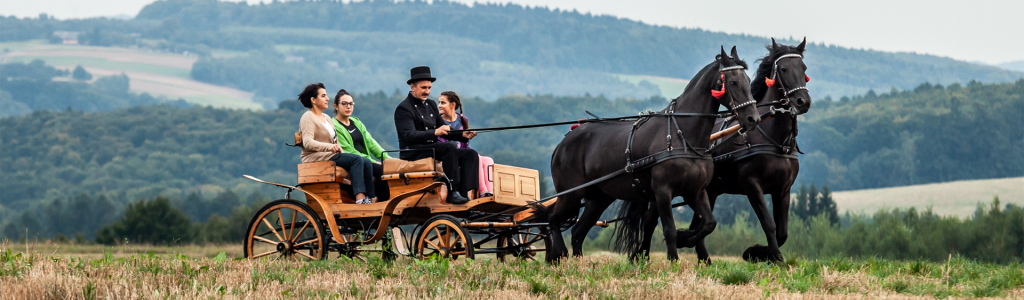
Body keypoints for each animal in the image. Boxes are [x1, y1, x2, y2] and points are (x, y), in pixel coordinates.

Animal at [544, 46, 761, 262]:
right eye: (733, 82)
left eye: (748, 81)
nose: (753, 118)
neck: (683, 136)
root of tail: (565, 140)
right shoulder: (663, 191)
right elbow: (669, 229)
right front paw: (673, 260)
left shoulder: (695, 191)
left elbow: (709, 223)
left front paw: (685, 239)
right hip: (571, 194)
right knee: (551, 219)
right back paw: (557, 254)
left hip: (598, 198)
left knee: (577, 232)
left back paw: (578, 261)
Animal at [675, 36, 811, 262]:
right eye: (783, 69)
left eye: (804, 68)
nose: (803, 101)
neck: (775, 140)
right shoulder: (752, 185)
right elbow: (769, 224)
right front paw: (772, 256)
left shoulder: (783, 189)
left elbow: (782, 231)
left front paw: (758, 252)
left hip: (709, 190)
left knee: (701, 224)